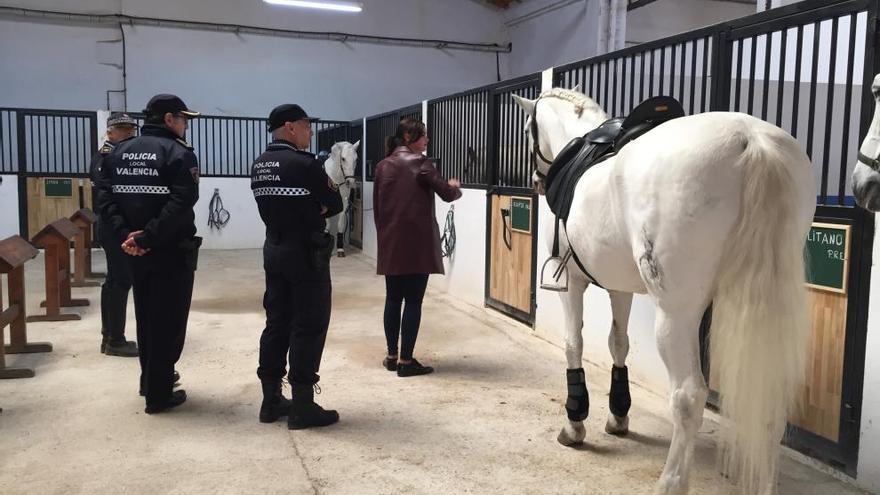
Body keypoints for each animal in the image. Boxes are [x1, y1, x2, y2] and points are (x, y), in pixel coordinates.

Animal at [512, 89, 816, 495]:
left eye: (527, 131)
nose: (536, 181)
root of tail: (752, 141)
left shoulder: (571, 283)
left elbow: (573, 343)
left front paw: (574, 425)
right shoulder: (619, 287)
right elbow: (619, 343)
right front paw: (618, 417)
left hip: (676, 314)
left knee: (688, 396)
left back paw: (671, 481)